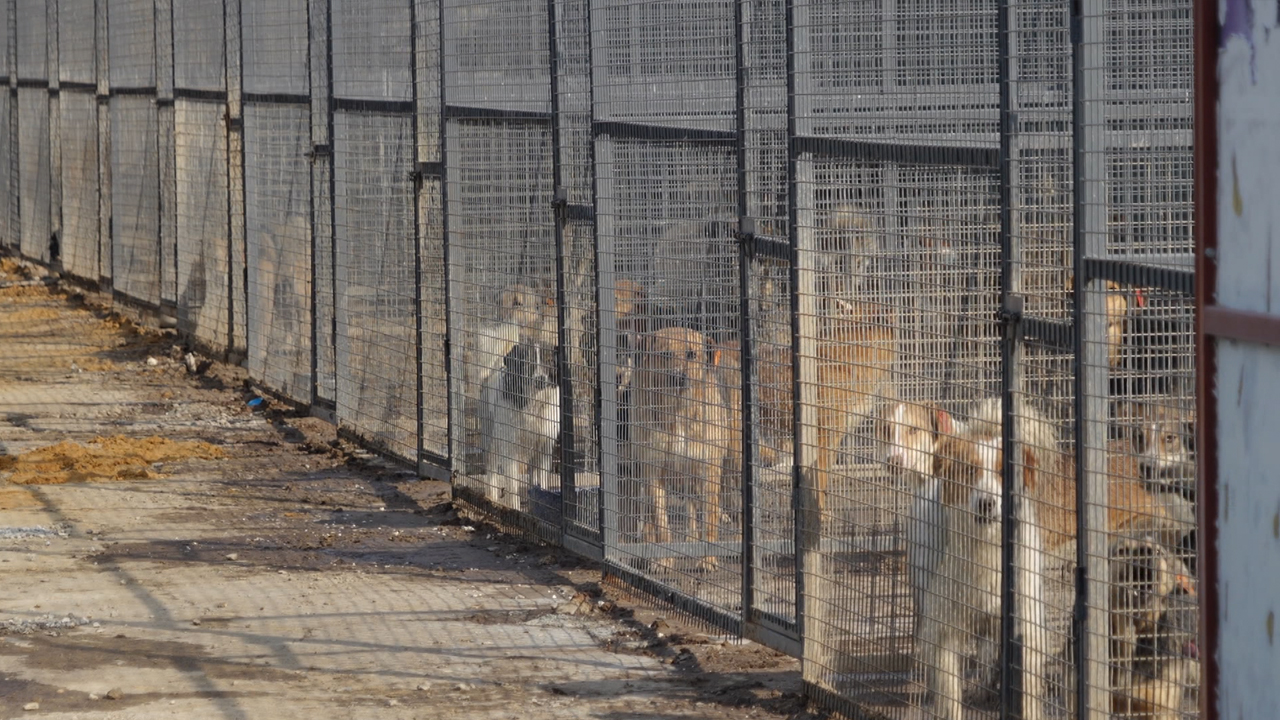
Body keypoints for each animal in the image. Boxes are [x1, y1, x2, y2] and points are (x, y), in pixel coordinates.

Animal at [624, 326, 737, 571]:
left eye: (691, 354)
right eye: (665, 354)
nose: (678, 376)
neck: (677, 411)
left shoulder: (708, 470)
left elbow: (710, 519)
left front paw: (708, 558)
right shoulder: (653, 472)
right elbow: (661, 523)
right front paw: (664, 559)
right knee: (687, 510)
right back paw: (686, 541)